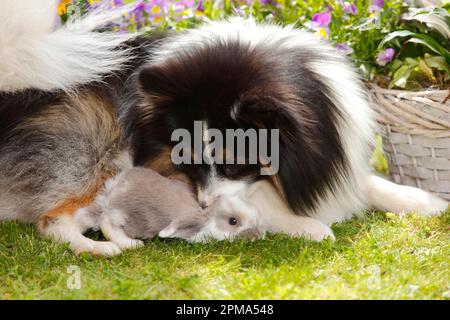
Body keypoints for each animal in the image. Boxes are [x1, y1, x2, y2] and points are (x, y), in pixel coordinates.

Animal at [0, 0, 446, 255]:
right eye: (190, 162)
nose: (202, 205)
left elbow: (367, 183)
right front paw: (309, 226)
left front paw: (426, 201)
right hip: (100, 158)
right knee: (52, 221)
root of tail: (17, 93)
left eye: (233, 163)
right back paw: (102, 250)